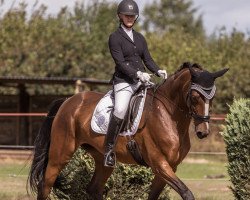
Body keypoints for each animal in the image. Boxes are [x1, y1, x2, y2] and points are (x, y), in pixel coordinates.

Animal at [27, 61, 229, 199]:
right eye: (194, 96)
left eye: (212, 97)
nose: (203, 132)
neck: (169, 117)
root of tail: (68, 101)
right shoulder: (159, 164)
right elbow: (186, 193)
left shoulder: (170, 167)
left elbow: (153, 196)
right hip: (61, 153)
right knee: (45, 185)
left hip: (102, 159)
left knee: (94, 188)